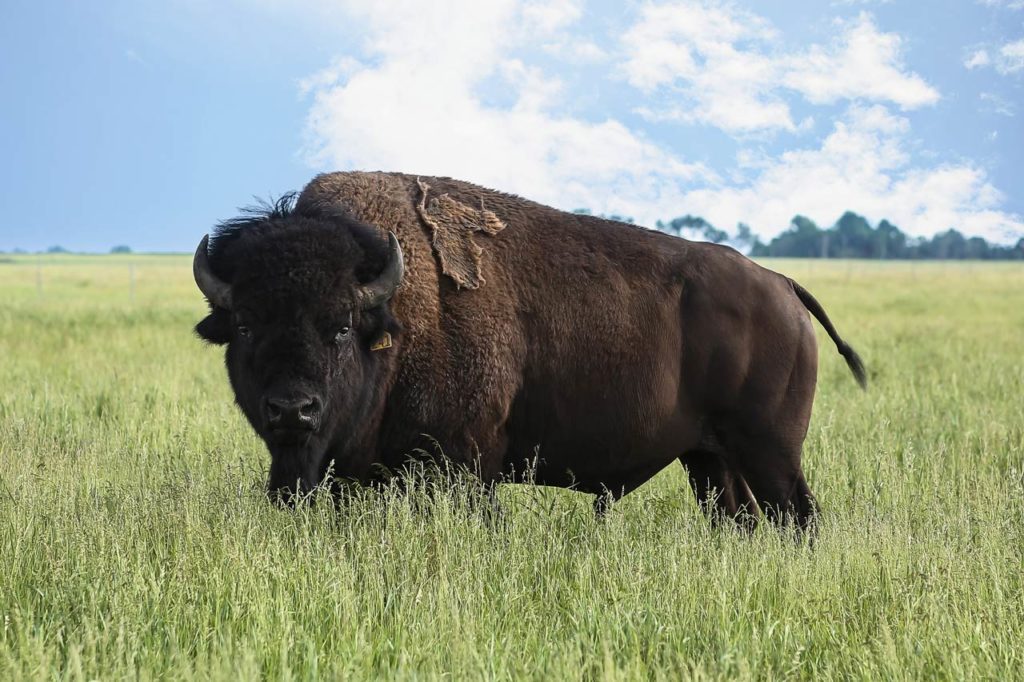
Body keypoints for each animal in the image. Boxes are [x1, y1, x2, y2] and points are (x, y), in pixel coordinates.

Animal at [194, 172, 865, 528]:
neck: (394, 317)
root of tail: (781, 285)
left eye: (339, 326)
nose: (293, 410)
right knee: (740, 520)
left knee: (797, 518)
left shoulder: (462, 466)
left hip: (771, 454)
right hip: (710, 461)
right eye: (245, 325)